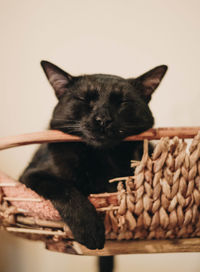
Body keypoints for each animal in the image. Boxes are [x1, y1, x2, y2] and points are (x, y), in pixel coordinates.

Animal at [20, 61, 167, 253]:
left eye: (122, 102)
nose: (103, 119)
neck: (100, 157)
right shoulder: (31, 175)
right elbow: (65, 188)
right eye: (84, 99)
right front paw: (90, 230)